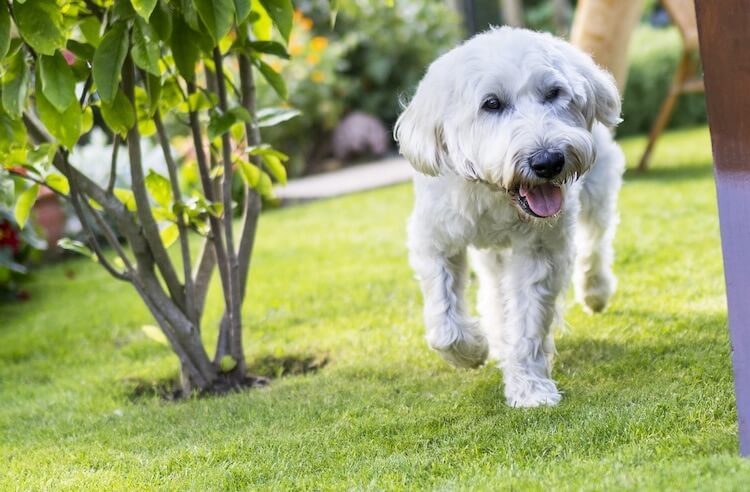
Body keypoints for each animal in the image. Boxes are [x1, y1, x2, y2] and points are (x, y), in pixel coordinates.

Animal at [396, 26, 624, 408]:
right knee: (493, 286)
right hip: (490, 252)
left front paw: (530, 387)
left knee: (596, 243)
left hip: (597, 192)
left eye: (553, 93)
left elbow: (528, 321)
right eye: (491, 104)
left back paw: (595, 290)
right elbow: (445, 321)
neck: (496, 193)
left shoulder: (539, 251)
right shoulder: (434, 239)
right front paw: (473, 350)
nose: (548, 161)